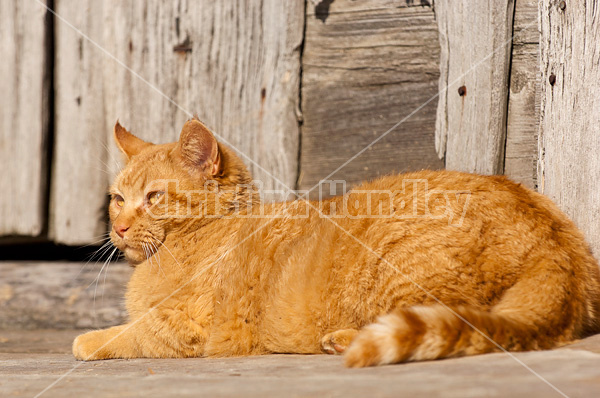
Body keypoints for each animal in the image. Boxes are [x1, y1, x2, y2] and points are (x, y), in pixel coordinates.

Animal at [71, 119, 600, 366]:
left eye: (154, 197)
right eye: (117, 199)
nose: (119, 228)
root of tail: (555, 238)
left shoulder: (190, 326)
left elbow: (135, 331)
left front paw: (89, 339)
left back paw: (345, 339)